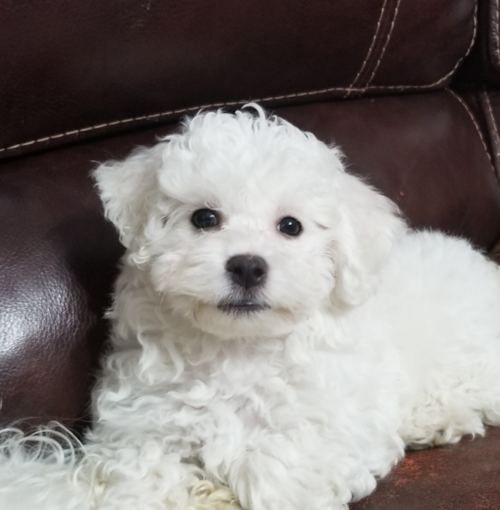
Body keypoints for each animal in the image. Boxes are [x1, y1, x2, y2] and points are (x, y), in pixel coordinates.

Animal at [0, 104, 500, 510]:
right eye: (204, 218)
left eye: (291, 226)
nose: (247, 266)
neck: (237, 350)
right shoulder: (138, 423)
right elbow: (143, 472)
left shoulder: (339, 425)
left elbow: (276, 466)